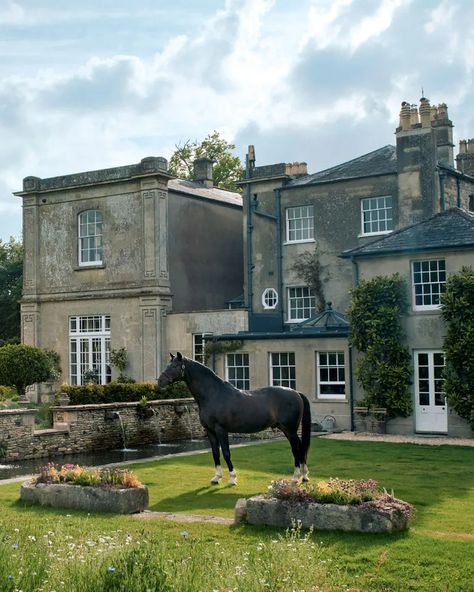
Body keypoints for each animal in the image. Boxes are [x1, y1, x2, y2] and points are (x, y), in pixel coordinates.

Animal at [156, 352, 312, 486]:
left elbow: (226, 453)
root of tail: (296, 392)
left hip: (290, 430)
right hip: (287, 430)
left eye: (174, 366)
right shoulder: (210, 431)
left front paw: (232, 479)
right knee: (299, 448)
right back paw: (304, 476)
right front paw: (216, 477)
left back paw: (296, 477)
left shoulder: (221, 430)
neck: (213, 394)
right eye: (167, 365)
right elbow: (215, 453)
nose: (159, 382)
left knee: (297, 449)